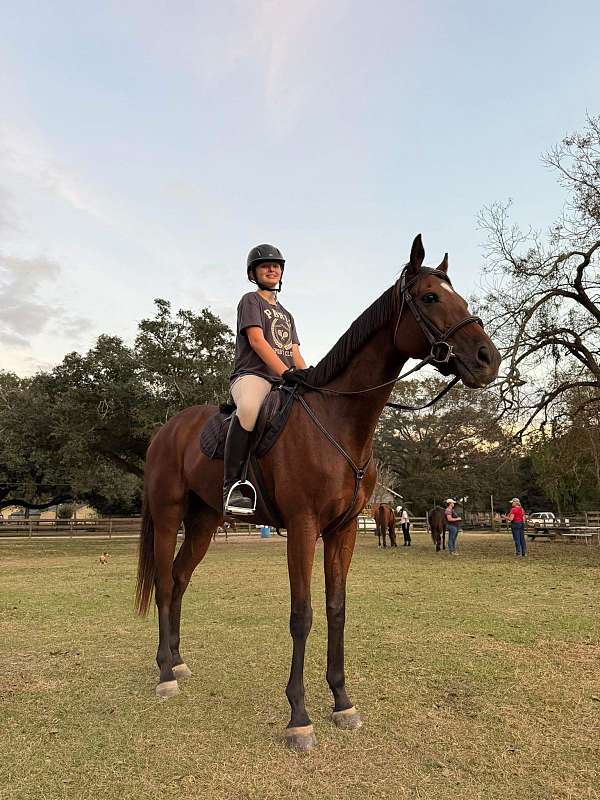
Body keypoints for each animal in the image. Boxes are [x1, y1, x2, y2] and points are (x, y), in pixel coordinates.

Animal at [135, 234, 500, 752]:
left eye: (460, 298)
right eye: (431, 297)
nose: (488, 359)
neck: (339, 421)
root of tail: (166, 430)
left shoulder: (342, 531)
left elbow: (336, 609)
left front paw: (343, 702)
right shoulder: (304, 527)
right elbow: (302, 615)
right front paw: (299, 717)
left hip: (204, 520)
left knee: (181, 579)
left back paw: (177, 661)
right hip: (169, 515)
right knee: (166, 583)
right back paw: (165, 674)